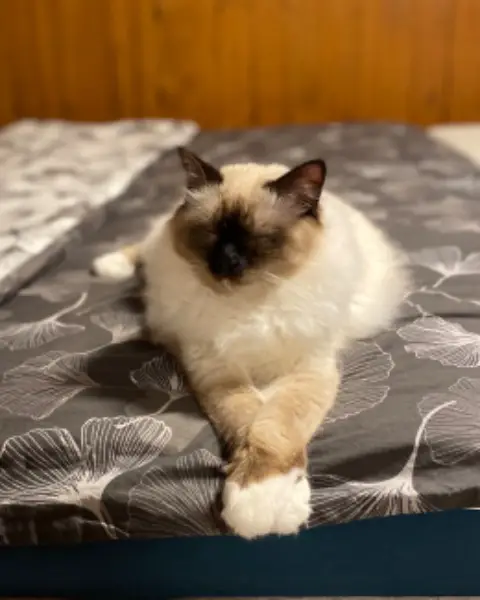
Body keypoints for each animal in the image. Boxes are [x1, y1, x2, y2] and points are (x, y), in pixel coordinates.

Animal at [92, 148, 410, 539]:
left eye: (257, 237)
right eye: (212, 233)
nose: (225, 265)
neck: (248, 307)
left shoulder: (304, 372)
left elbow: (274, 432)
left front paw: (267, 503)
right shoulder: (218, 372)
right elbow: (249, 422)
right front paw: (256, 505)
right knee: (144, 246)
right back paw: (108, 264)